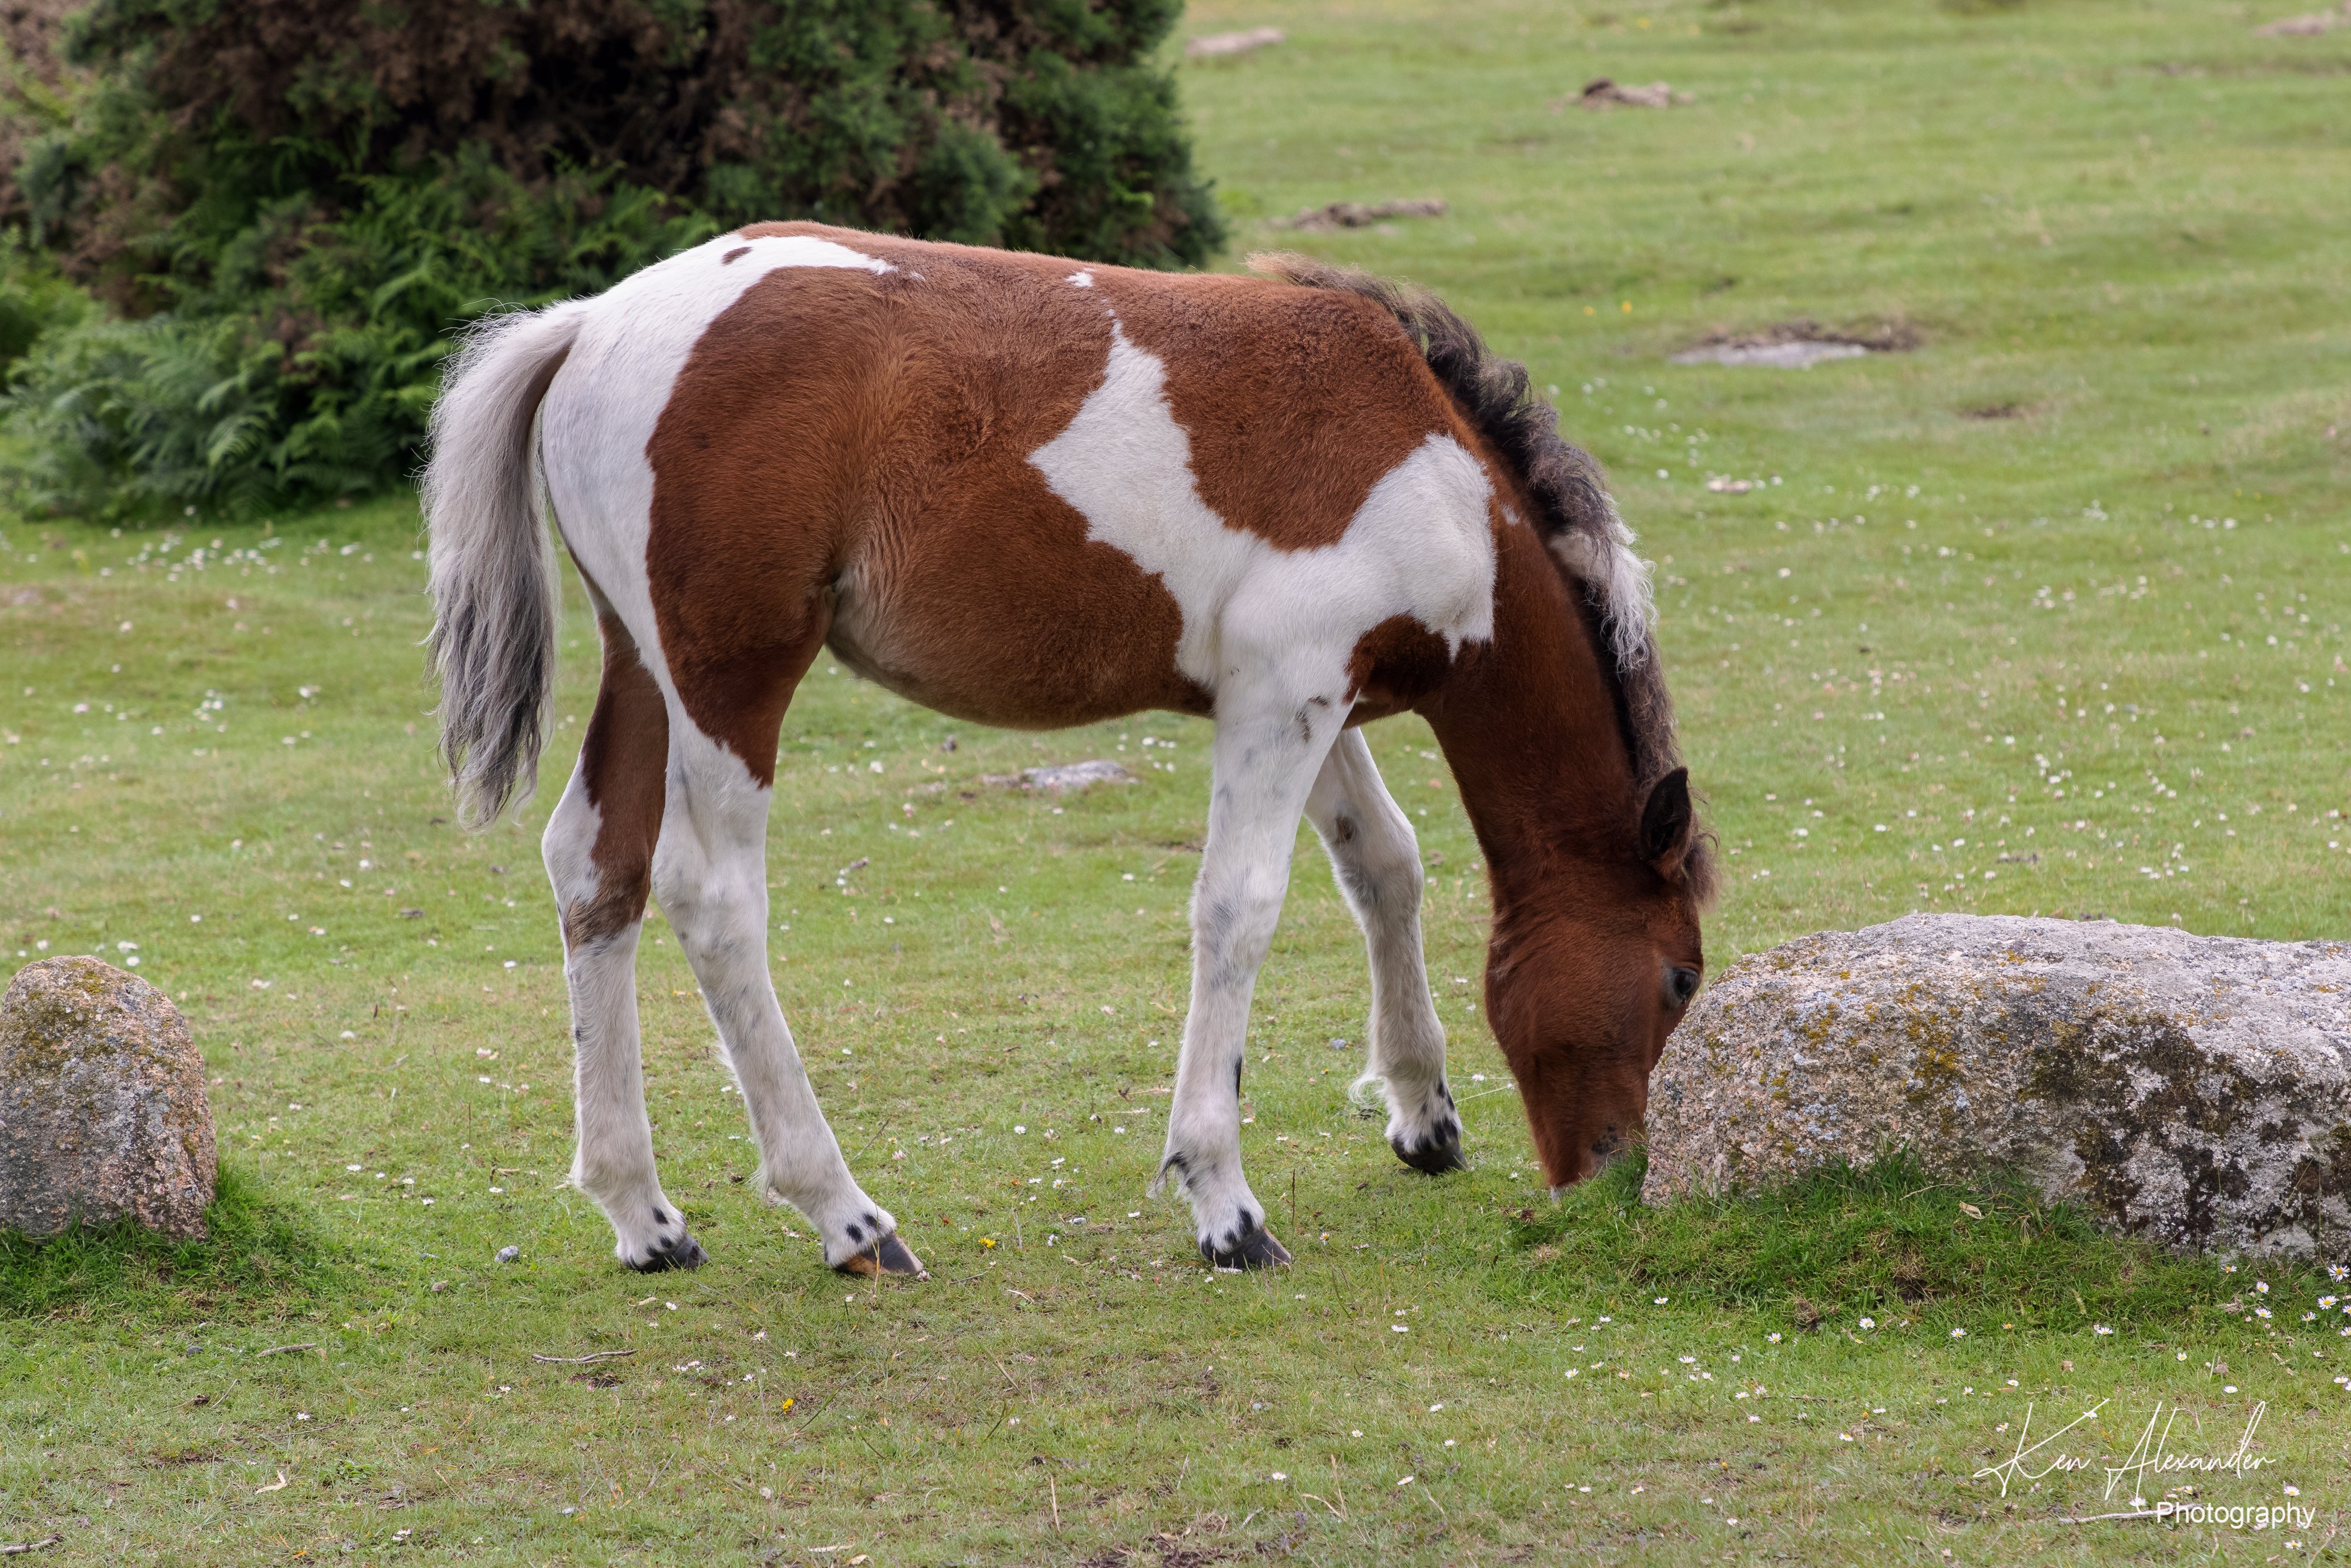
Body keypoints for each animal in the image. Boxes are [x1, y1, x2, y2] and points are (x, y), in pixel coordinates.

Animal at [423, 223, 1712, 1279]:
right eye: (1679, 978)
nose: (1617, 1175)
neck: (1431, 465)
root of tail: (594, 324)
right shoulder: (1286, 695)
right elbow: (1239, 908)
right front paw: (1223, 1202)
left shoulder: (1308, 696)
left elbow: (1381, 865)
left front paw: (1421, 1114)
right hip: (730, 681)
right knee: (711, 896)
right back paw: (847, 1215)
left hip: (641, 665)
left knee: (595, 868)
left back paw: (642, 1214)